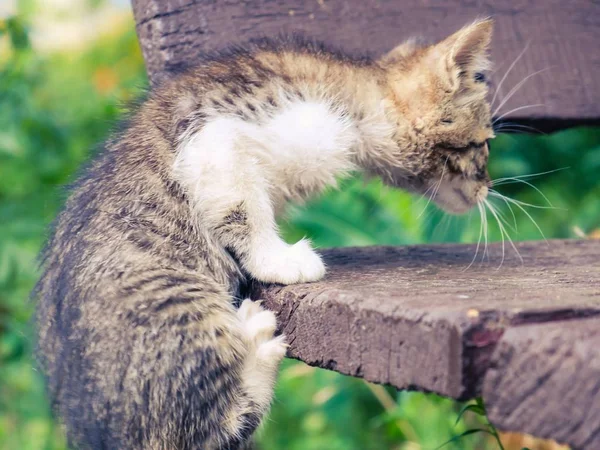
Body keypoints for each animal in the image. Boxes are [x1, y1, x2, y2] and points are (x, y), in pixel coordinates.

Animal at [32, 17, 494, 450]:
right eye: (484, 143)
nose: (487, 188)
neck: (357, 88)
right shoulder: (217, 136)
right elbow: (243, 207)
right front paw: (281, 260)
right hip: (180, 302)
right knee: (204, 433)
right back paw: (257, 347)